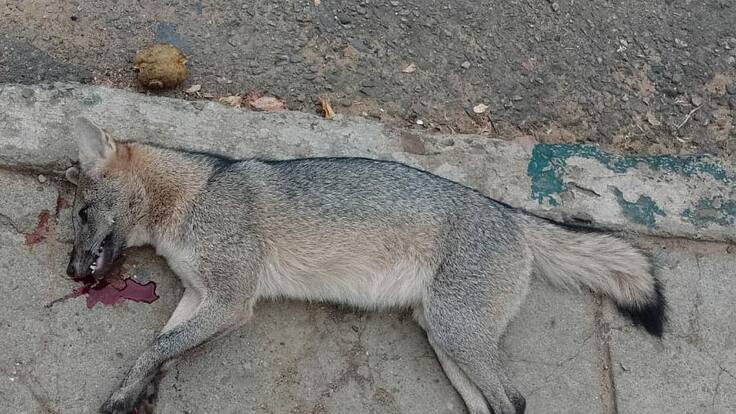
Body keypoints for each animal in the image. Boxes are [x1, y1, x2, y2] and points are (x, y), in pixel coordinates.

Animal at [64, 117, 666, 414]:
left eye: (81, 213)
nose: (71, 272)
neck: (196, 196)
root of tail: (509, 213)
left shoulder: (232, 302)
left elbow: (159, 345)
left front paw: (126, 393)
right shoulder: (198, 294)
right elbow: (160, 346)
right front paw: (135, 392)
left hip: (455, 333)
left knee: (513, 400)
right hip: (445, 339)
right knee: (496, 405)